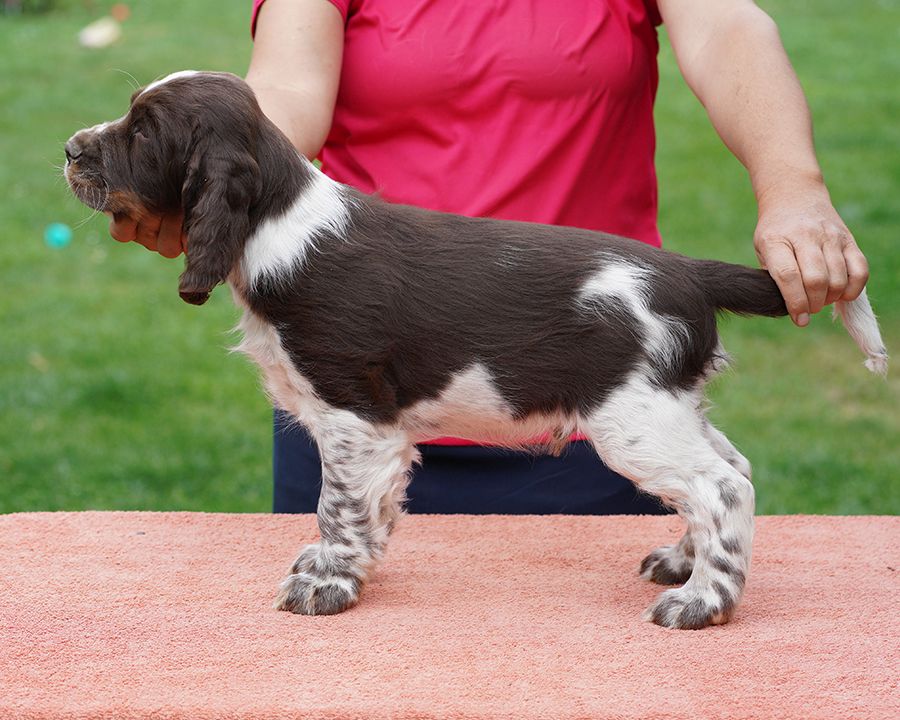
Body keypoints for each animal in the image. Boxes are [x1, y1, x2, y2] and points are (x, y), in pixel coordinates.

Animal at [63, 70, 884, 628]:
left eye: (143, 132)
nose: (69, 148)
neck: (275, 227)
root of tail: (686, 269)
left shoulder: (355, 416)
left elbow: (337, 507)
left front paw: (327, 584)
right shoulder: (370, 432)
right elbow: (369, 507)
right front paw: (347, 566)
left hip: (631, 418)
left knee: (722, 486)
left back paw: (702, 601)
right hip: (669, 405)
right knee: (730, 470)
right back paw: (683, 562)